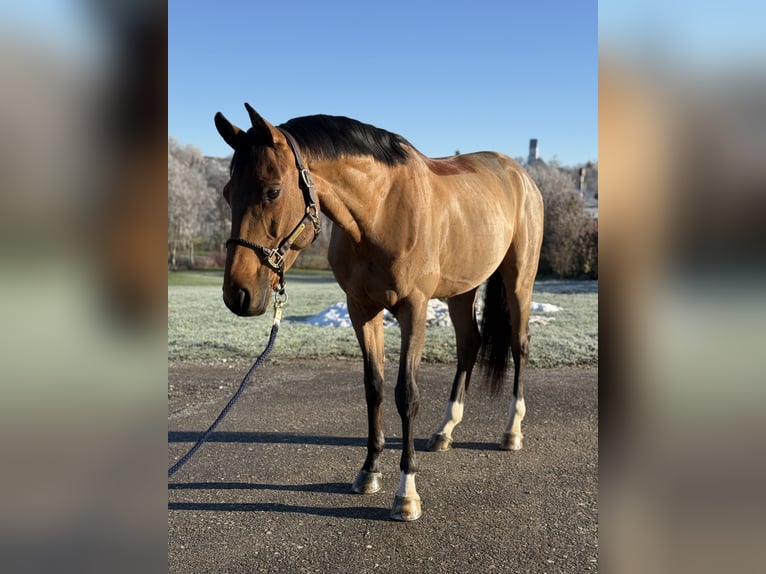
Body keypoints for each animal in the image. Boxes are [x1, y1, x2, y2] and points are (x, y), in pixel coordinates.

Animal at [213, 103, 544, 520]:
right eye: (228, 192)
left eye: (272, 191)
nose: (237, 294)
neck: (382, 209)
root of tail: (519, 174)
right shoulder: (361, 309)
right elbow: (374, 387)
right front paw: (369, 472)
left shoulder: (413, 309)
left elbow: (407, 394)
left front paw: (407, 493)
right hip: (461, 290)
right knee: (470, 344)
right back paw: (445, 431)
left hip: (520, 281)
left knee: (520, 345)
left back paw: (512, 431)